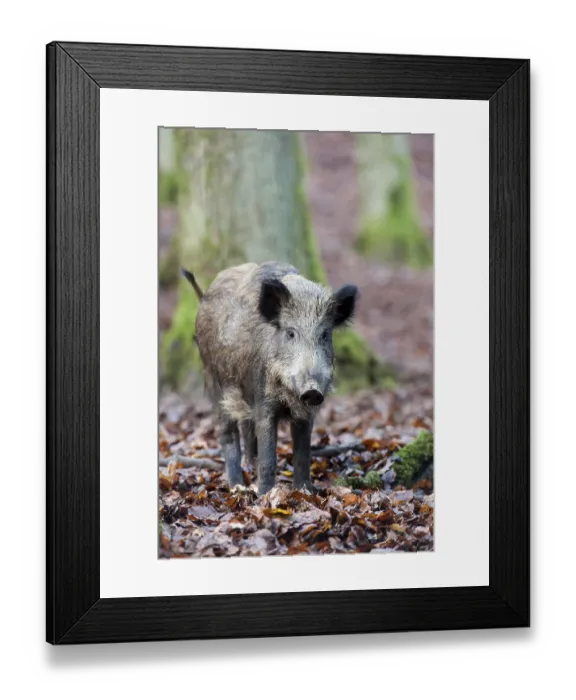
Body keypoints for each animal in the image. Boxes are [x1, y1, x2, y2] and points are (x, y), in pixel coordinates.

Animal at [182, 262, 358, 495]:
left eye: (325, 335)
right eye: (291, 333)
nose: (312, 390)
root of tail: (204, 296)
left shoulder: (306, 413)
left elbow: (302, 454)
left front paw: (306, 492)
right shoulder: (264, 402)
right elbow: (268, 455)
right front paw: (264, 494)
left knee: (247, 431)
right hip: (213, 379)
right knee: (227, 433)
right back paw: (236, 485)